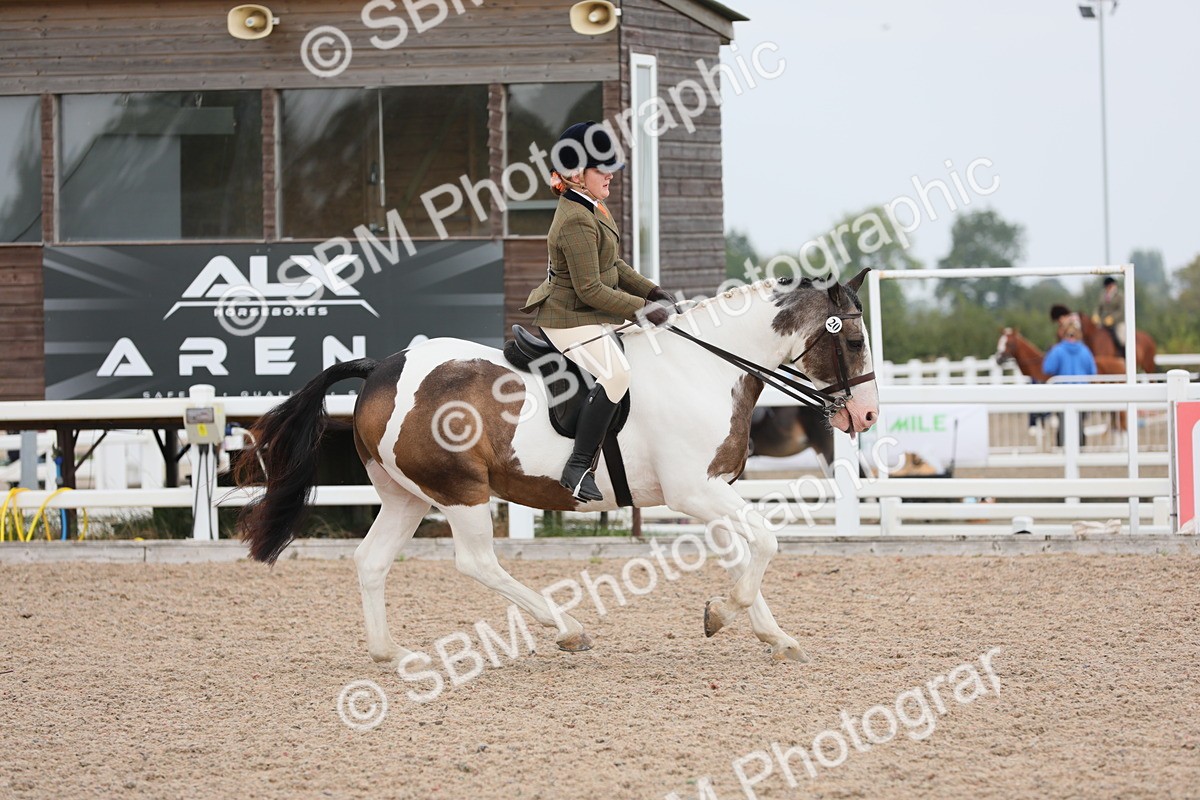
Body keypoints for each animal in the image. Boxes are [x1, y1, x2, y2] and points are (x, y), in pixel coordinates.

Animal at [236, 272, 879, 664]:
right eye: (851, 339)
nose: (867, 414)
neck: (705, 368)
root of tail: (380, 368)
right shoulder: (693, 492)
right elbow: (766, 542)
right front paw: (722, 613)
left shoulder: (712, 491)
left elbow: (746, 555)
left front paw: (773, 635)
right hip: (459, 490)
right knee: (477, 562)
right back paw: (567, 628)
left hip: (406, 496)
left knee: (371, 560)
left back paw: (390, 652)